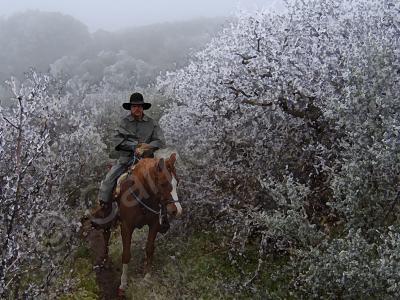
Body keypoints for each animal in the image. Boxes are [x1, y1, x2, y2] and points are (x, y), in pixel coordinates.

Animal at [97, 154, 183, 296]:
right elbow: (126, 254)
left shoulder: (154, 225)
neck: (142, 195)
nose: (177, 210)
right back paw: (104, 260)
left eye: (178, 182)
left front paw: (147, 278)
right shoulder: (126, 226)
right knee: (106, 235)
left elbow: (149, 249)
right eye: (163, 183)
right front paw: (123, 285)